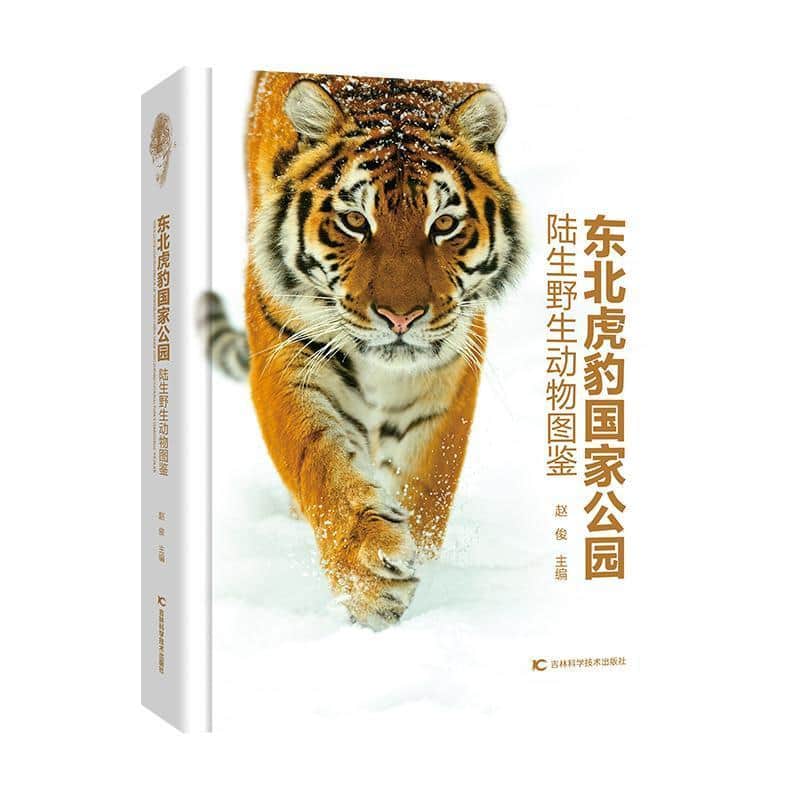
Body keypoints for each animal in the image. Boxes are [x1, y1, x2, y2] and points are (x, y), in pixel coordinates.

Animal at [202, 72, 526, 630]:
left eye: (444, 224)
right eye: (355, 221)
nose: (400, 318)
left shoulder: (449, 367)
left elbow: (426, 487)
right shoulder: (287, 348)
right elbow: (320, 463)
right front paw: (369, 581)